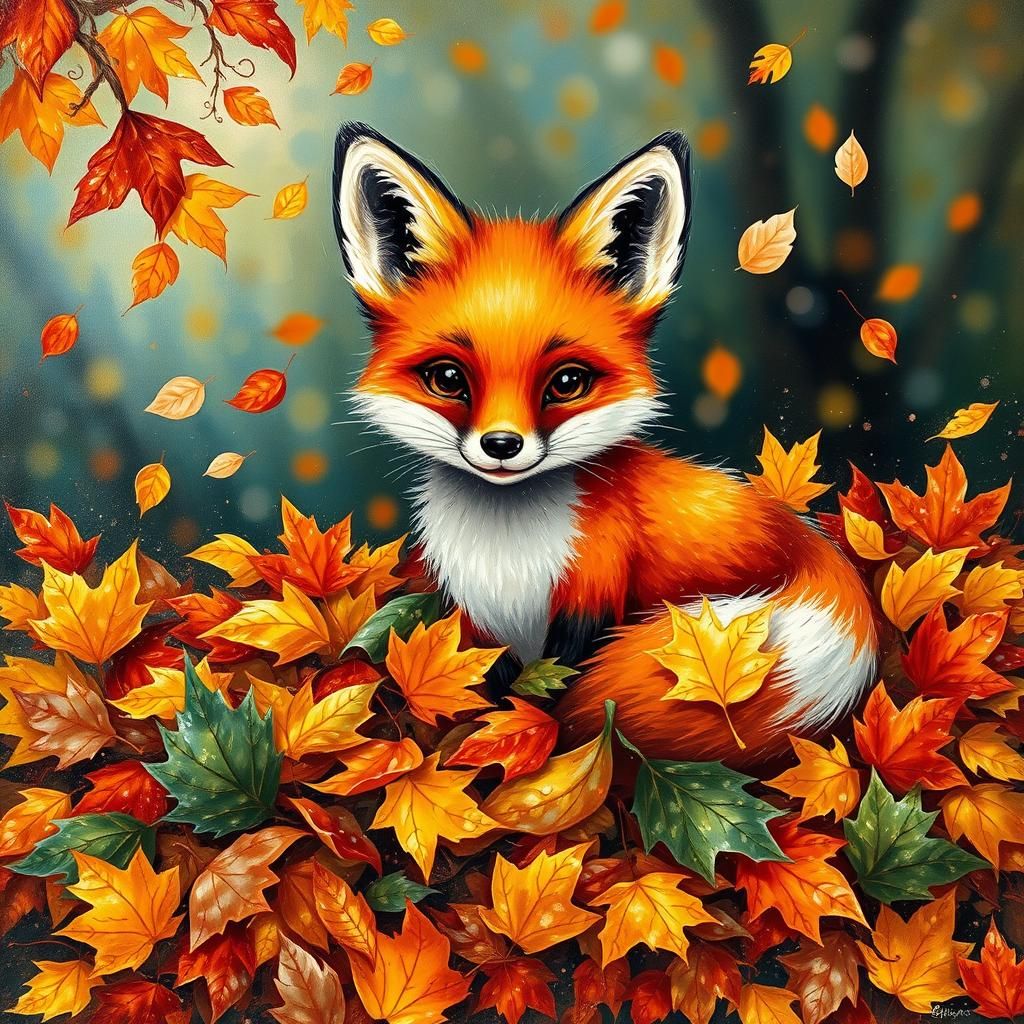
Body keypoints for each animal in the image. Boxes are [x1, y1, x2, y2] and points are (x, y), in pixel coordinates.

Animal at [334, 122, 877, 765]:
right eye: (447, 378)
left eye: (567, 382)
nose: (501, 444)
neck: (509, 556)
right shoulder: (472, 617)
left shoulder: (593, 592)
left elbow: (554, 690)